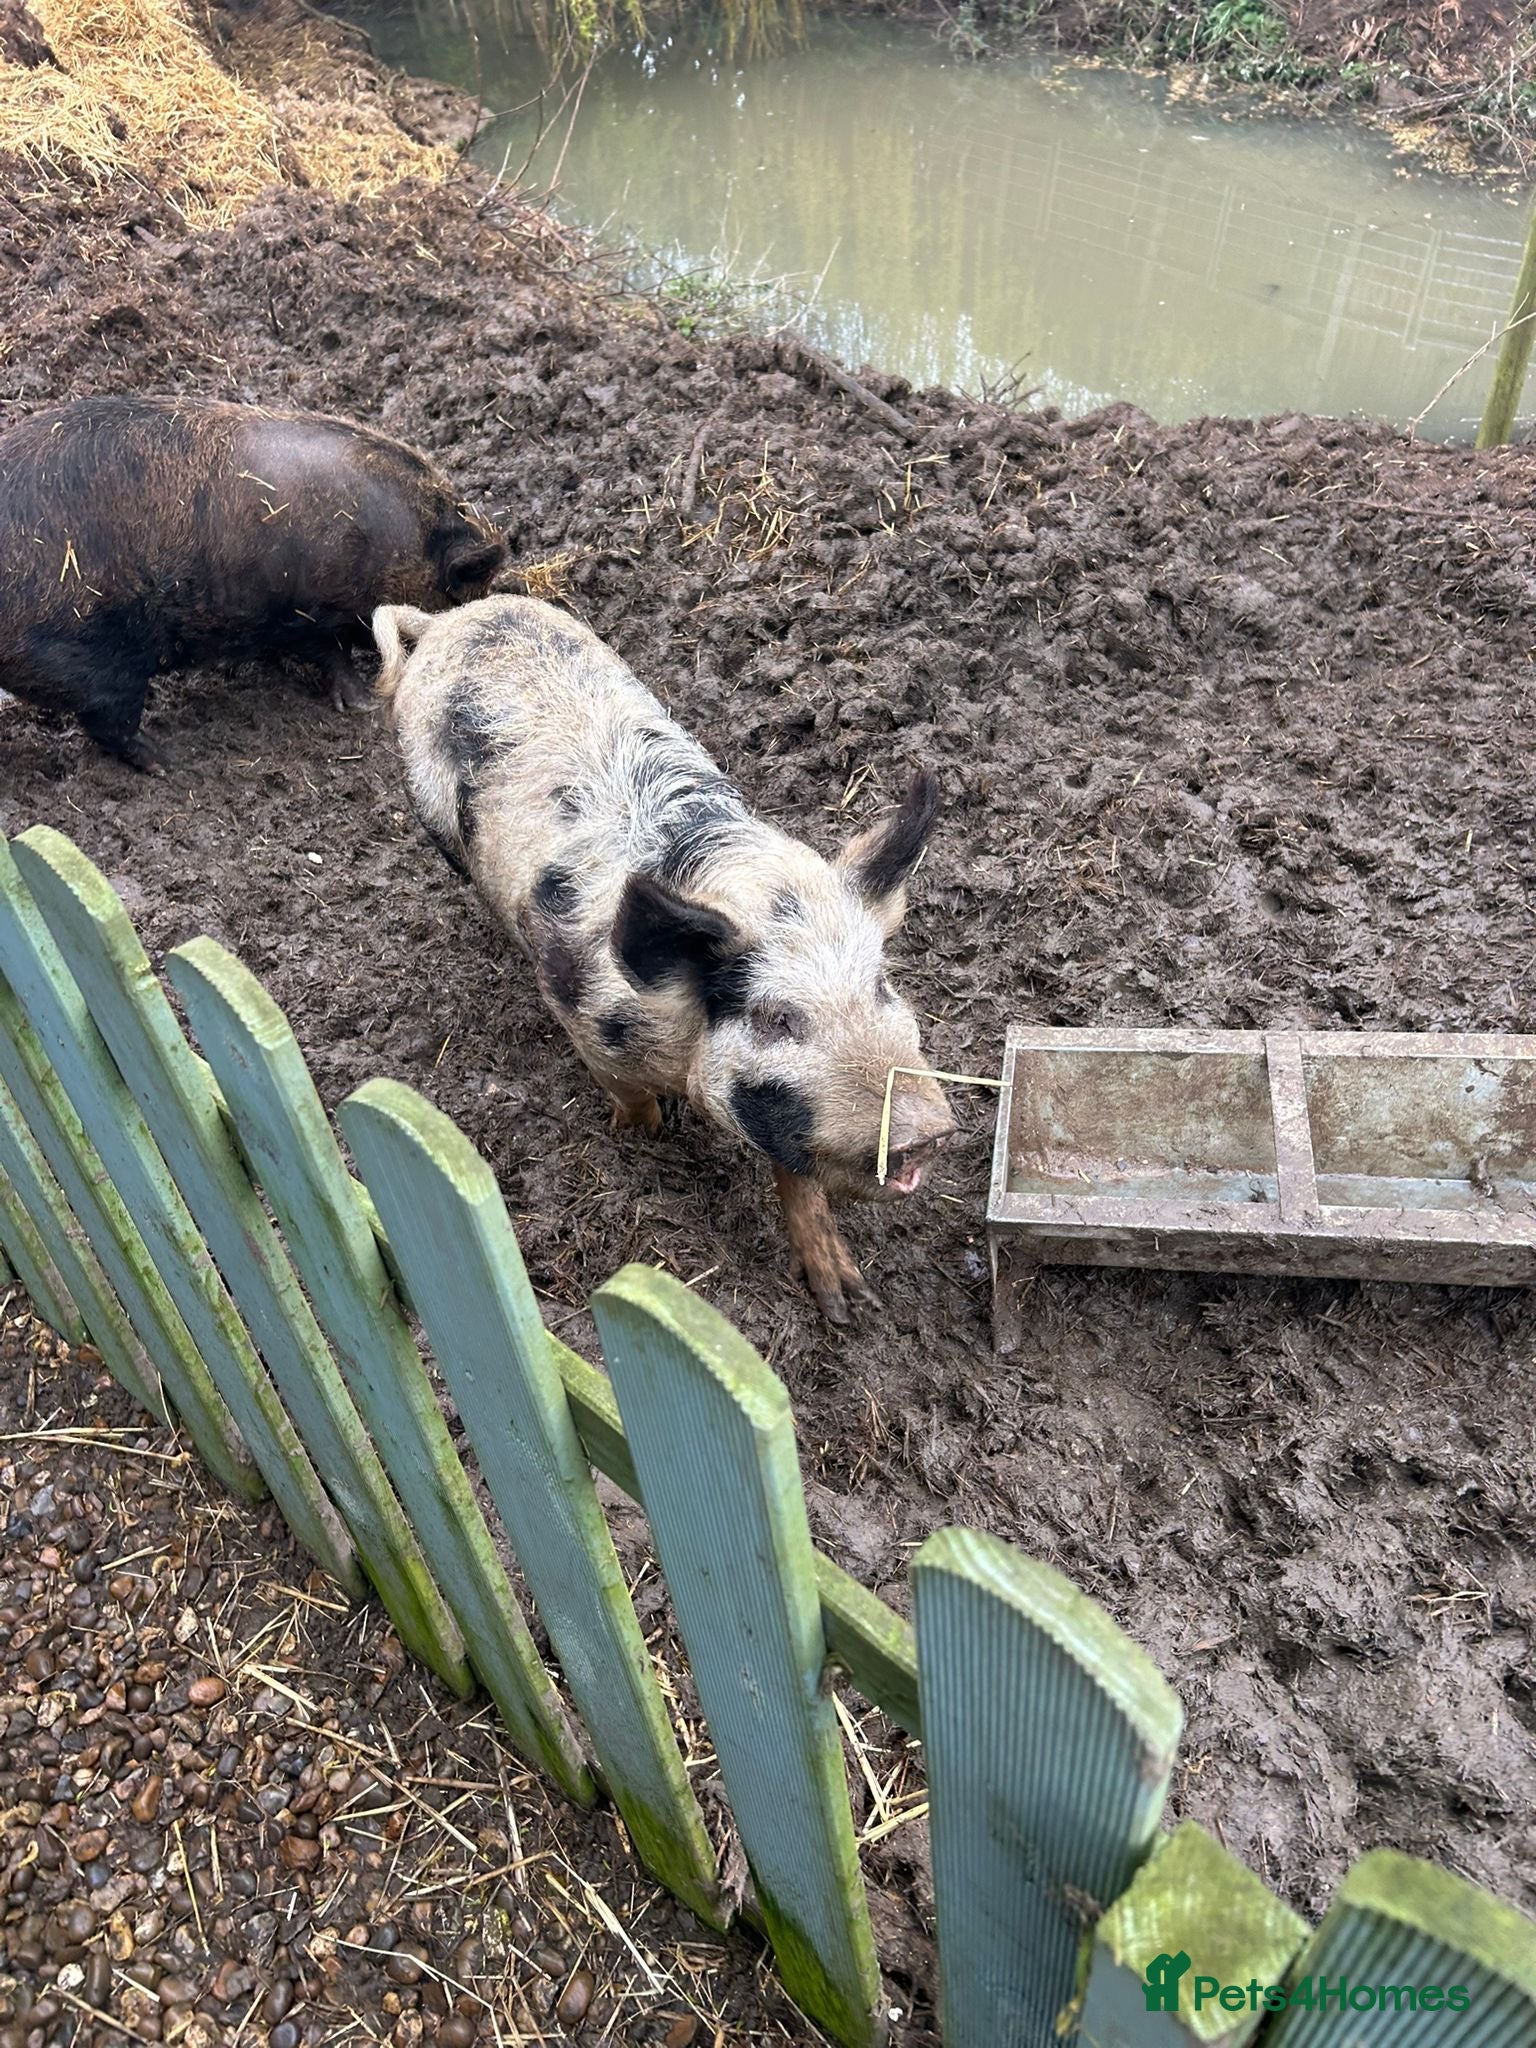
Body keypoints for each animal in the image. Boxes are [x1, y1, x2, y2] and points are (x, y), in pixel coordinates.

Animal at [0, 395, 506, 770]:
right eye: (461, 599)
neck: (390, 547)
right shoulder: (308, 609)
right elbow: (331, 655)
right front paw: (362, 706)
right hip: (91, 657)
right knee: (108, 723)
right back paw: (170, 761)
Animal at [372, 593, 955, 1322]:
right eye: (776, 1019)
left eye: (881, 987)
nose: (927, 1128)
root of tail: (448, 620)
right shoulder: (583, 1016)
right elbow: (630, 1099)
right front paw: (641, 1141)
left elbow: (796, 1175)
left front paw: (849, 1304)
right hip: (433, 814)